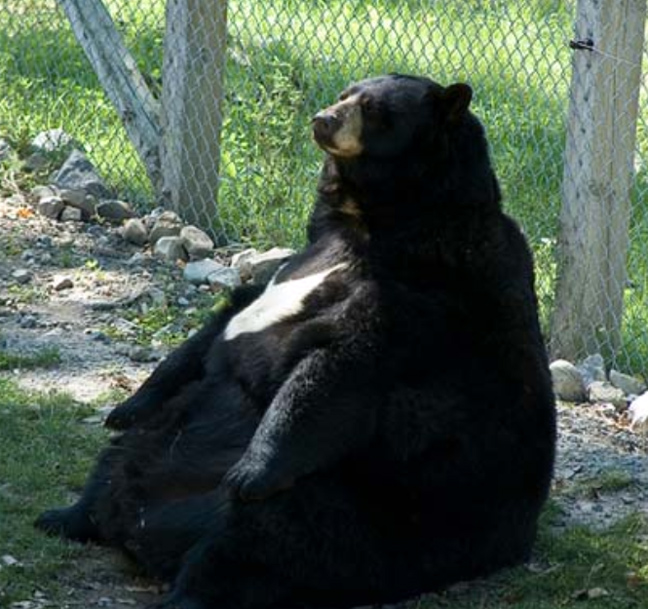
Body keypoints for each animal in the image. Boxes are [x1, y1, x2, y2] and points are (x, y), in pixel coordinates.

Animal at [35, 76, 556, 608]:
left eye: (373, 108)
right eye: (348, 92)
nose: (323, 119)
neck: (374, 223)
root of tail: (145, 533)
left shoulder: (430, 294)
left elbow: (337, 367)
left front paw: (251, 470)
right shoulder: (301, 256)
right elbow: (218, 325)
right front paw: (125, 406)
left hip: (354, 510)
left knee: (254, 543)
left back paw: (186, 583)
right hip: (160, 438)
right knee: (115, 462)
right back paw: (64, 516)